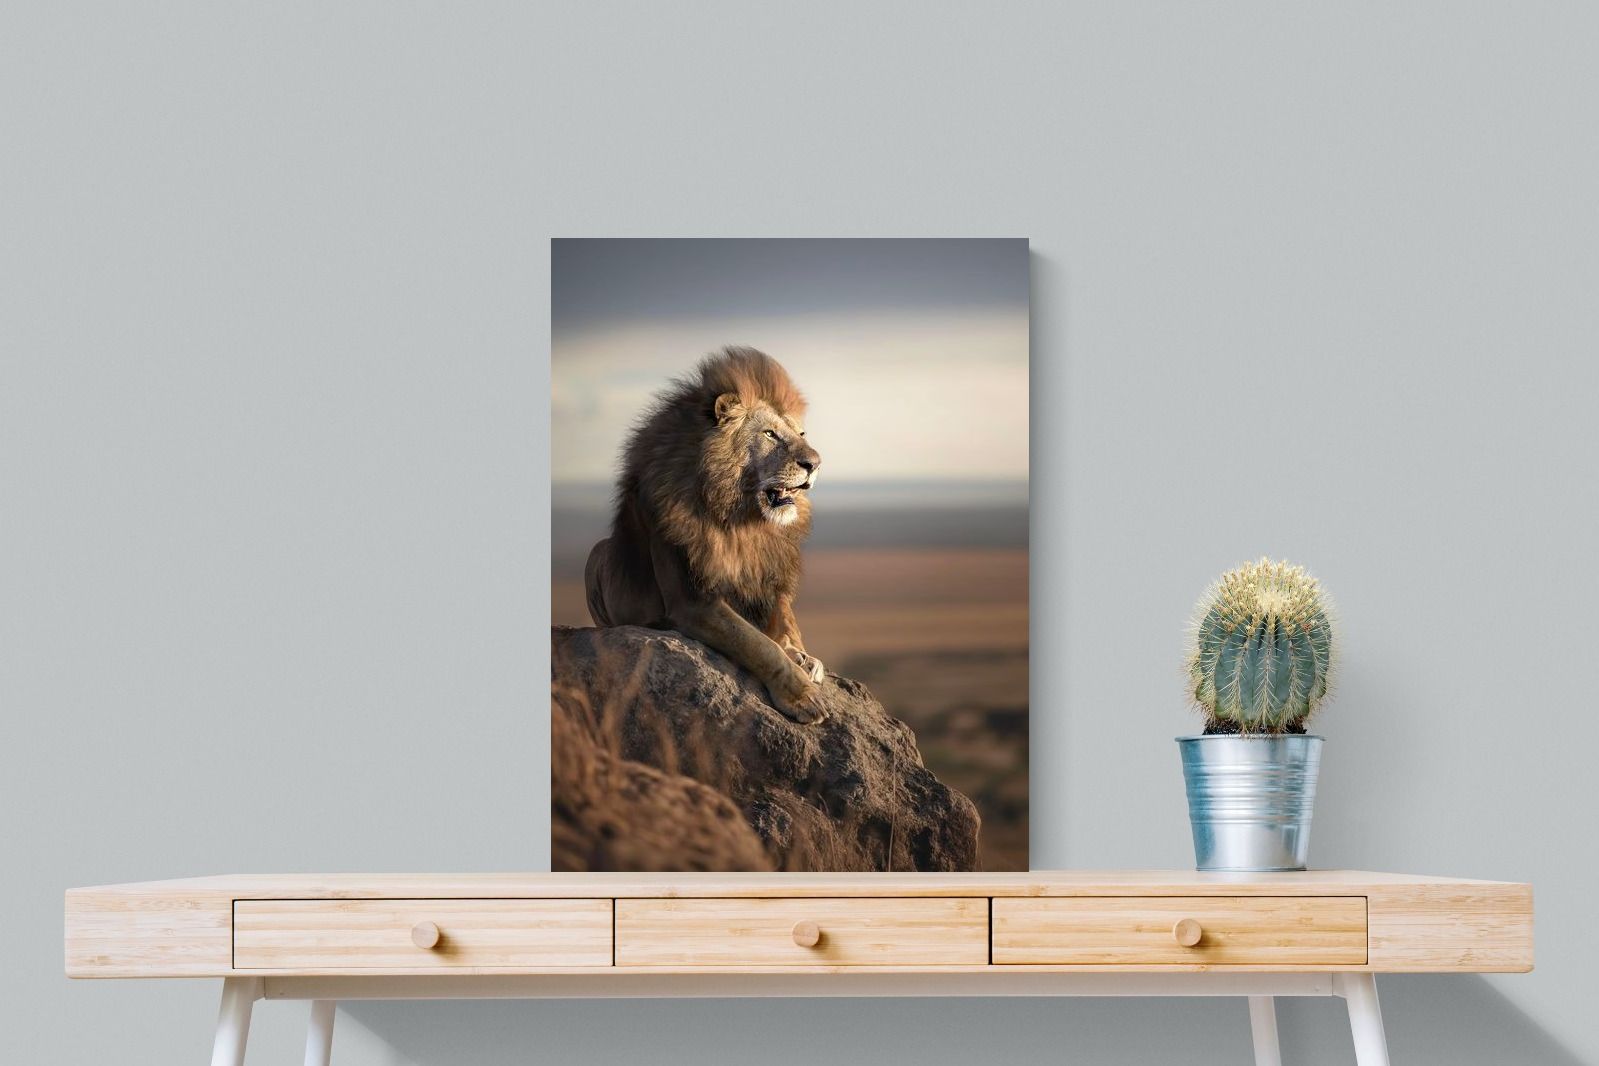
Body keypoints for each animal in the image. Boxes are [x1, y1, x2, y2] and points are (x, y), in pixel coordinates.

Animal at [584, 347, 827, 724]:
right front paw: (802, 695)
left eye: (801, 435)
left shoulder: (769, 578)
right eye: (770, 434)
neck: (741, 517)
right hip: (596, 555)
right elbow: (758, 644)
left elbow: (784, 623)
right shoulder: (693, 602)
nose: (814, 463)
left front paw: (802, 656)